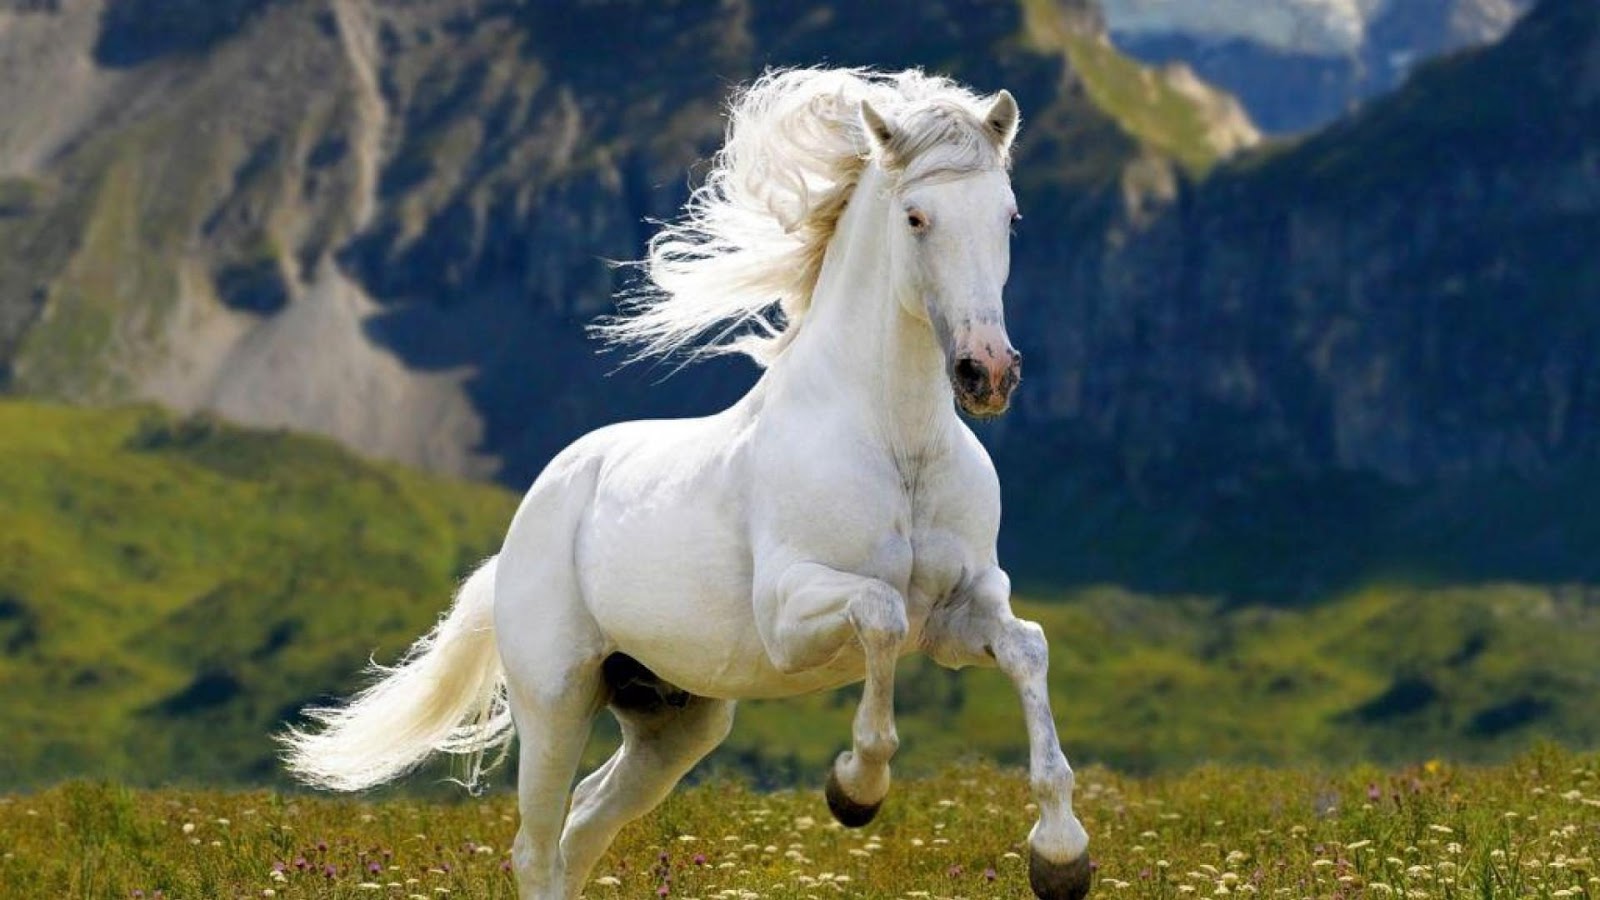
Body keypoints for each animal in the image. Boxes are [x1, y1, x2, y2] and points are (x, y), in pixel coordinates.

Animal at [281, 67, 1093, 900]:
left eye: (1009, 215)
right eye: (916, 216)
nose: (987, 372)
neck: (899, 446)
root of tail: (520, 532)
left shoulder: (961, 611)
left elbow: (1027, 647)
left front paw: (1062, 856)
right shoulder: (791, 615)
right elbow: (881, 617)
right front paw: (855, 789)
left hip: (674, 719)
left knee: (584, 826)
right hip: (556, 700)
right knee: (536, 848)